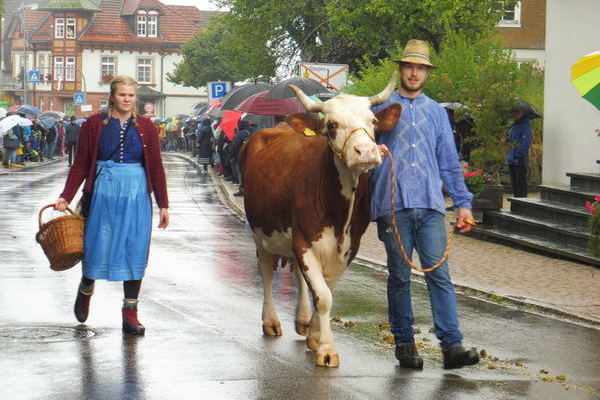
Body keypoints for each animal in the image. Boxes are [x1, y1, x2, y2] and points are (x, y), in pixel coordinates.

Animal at [240, 72, 404, 368]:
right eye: (332, 125)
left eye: (373, 121)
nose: (365, 151)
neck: (340, 214)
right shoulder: (303, 240)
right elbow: (324, 296)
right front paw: (327, 350)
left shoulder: (348, 247)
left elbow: (325, 291)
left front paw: (316, 338)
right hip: (261, 233)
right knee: (267, 271)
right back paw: (270, 321)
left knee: (298, 276)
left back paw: (304, 320)